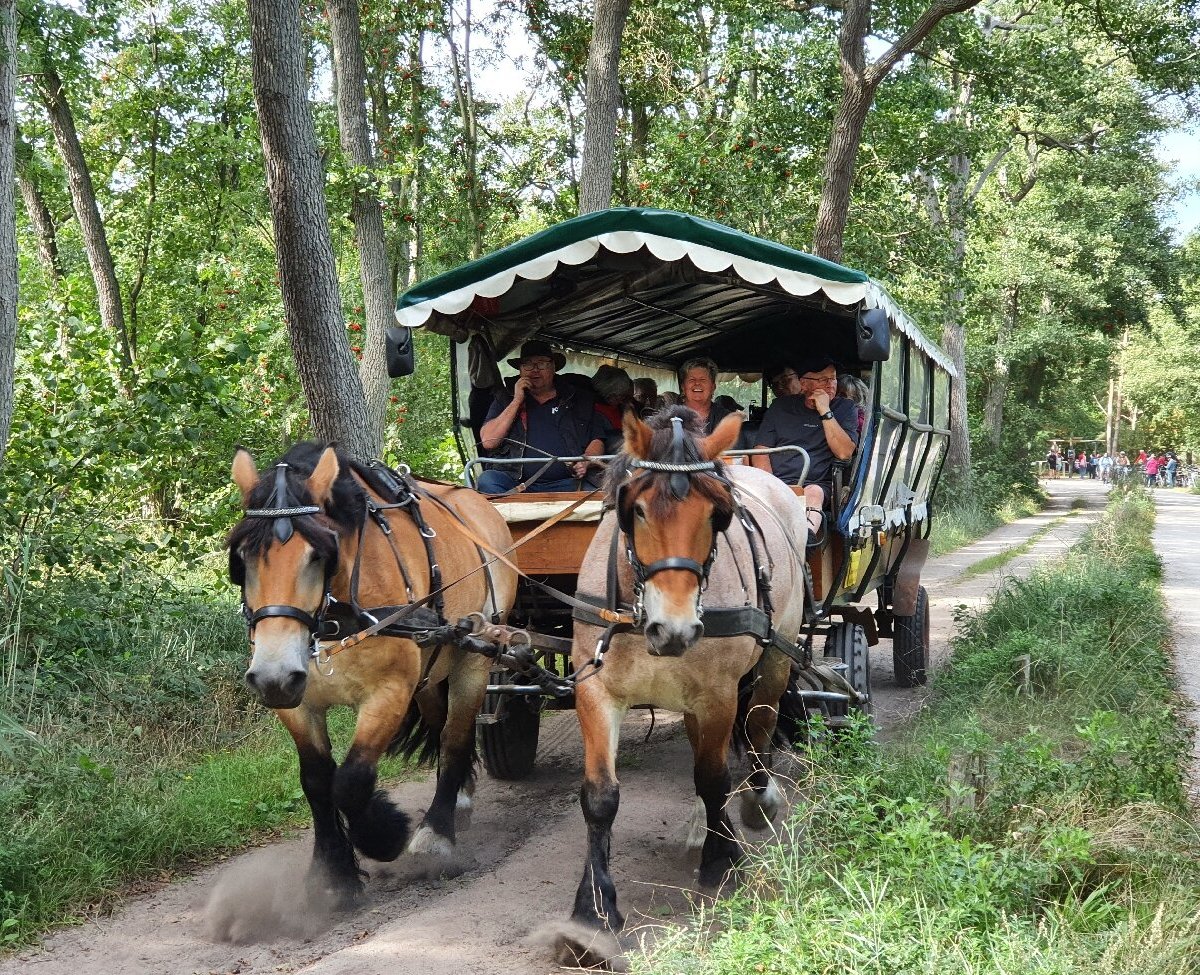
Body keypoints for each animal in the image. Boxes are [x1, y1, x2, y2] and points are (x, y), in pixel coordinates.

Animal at [229, 439, 516, 898]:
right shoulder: (297, 705)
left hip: (475, 657)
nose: (273, 677)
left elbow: (350, 781)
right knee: (441, 725)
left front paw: (385, 834)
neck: (335, 616)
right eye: (242, 558)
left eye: (318, 555)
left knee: (454, 735)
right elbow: (316, 782)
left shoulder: (389, 691)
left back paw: (437, 831)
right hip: (432, 667)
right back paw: (459, 797)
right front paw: (333, 873)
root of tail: (479, 506)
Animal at [559, 405, 806, 965]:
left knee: (760, 724)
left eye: (717, 516)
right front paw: (592, 916)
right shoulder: (595, 691)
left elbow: (713, 778)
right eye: (637, 510)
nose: (674, 629)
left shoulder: (717, 694)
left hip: (776, 658)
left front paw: (722, 861)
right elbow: (600, 797)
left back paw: (759, 799)